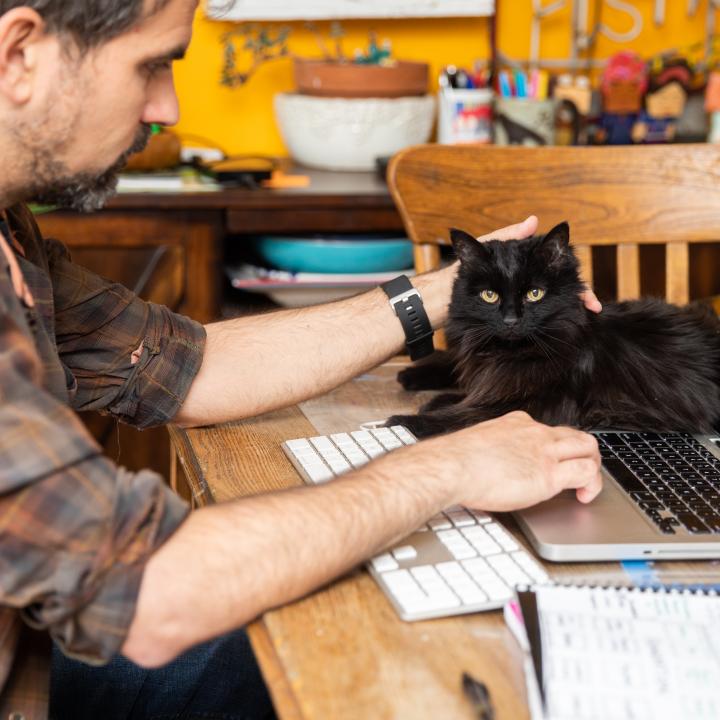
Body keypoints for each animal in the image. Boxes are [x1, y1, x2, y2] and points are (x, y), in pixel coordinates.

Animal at [390, 222, 720, 436]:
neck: (510, 354)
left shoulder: (535, 404)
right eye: (490, 295)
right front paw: (431, 395)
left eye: (534, 293)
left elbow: (468, 413)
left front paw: (405, 421)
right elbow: (468, 392)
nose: (511, 321)